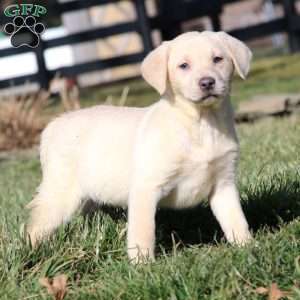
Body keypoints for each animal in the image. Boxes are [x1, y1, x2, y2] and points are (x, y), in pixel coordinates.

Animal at [27, 31, 253, 262]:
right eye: (183, 65)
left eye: (217, 59)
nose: (207, 82)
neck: (201, 122)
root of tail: (54, 124)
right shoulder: (146, 187)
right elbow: (143, 230)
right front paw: (142, 264)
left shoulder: (223, 184)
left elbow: (236, 219)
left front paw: (247, 247)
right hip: (60, 193)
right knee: (36, 225)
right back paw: (33, 253)